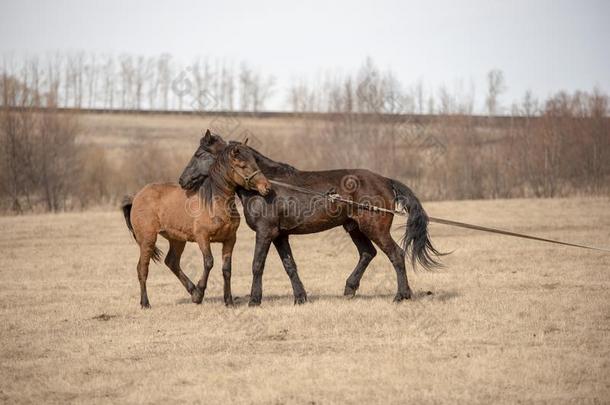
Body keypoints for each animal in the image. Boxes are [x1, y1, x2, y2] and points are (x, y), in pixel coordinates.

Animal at [121, 142, 268, 306]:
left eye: (255, 162)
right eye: (243, 165)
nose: (266, 186)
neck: (214, 203)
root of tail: (136, 198)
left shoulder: (230, 239)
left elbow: (227, 269)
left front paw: (228, 301)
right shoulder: (202, 237)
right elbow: (209, 262)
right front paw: (200, 293)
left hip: (177, 240)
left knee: (171, 262)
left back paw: (191, 290)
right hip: (148, 240)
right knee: (142, 268)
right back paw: (146, 303)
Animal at [179, 134, 442, 304]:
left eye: (198, 154)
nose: (182, 180)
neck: (266, 186)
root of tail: (385, 180)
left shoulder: (265, 232)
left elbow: (257, 265)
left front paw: (254, 299)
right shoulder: (280, 235)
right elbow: (290, 265)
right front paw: (300, 297)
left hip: (374, 228)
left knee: (396, 254)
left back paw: (401, 295)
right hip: (354, 227)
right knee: (368, 253)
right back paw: (350, 289)